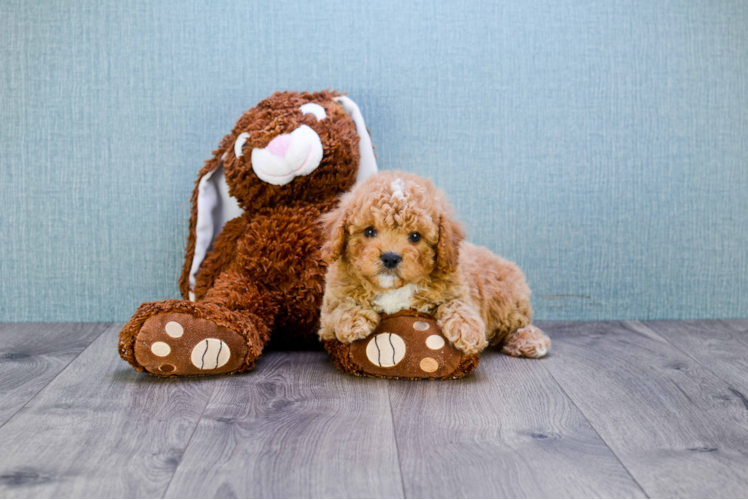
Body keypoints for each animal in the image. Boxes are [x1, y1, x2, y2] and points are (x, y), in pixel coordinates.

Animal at [318, 173, 552, 360]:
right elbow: (338, 310)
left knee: (517, 325)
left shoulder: (456, 289)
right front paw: (354, 320)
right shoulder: (327, 314)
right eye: (369, 231)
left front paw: (468, 331)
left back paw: (531, 342)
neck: (393, 288)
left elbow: (456, 305)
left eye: (415, 236)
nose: (390, 258)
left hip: (508, 303)